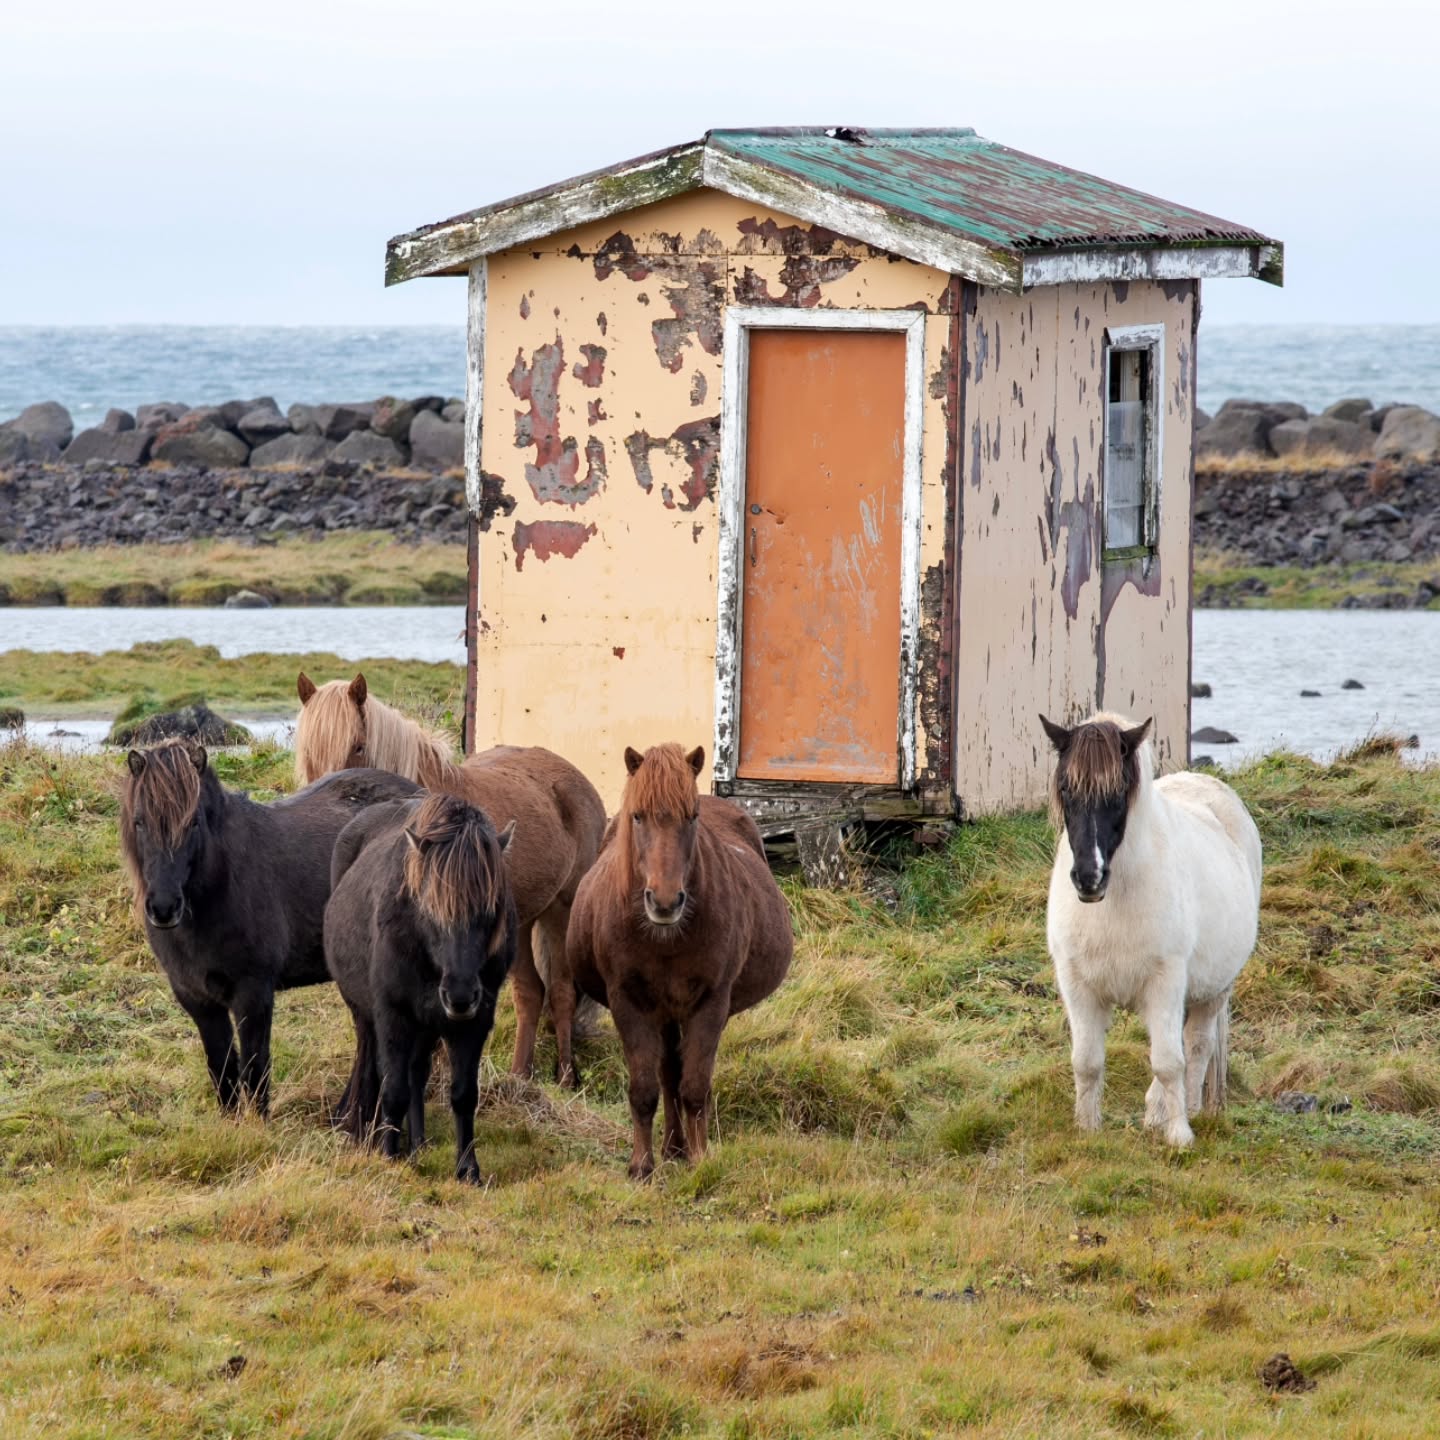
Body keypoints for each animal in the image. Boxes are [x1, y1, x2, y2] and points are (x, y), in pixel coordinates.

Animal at [118, 738, 420, 1115]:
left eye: (193, 824)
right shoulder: (196, 998)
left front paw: (258, 1123)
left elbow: (255, 1066)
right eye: (139, 822)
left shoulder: (253, 992)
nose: (163, 907)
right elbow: (222, 1069)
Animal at [294, 673, 606, 1079]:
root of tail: (577, 781)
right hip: (521, 922)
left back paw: (566, 1075)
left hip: (561, 911)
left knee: (562, 992)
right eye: (307, 754)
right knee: (530, 992)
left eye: (358, 747)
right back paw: (520, 1077)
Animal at [324, 793, 517, 1183]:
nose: (460, 995)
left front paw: (467, 1170)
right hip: (368, 1015)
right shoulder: (393, 1015)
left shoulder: (474, 1023)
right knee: (371, 1064)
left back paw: (418, 1144)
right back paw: (365, 1129)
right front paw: (388, 1156)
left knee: (417, 1072)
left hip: (427, 1024)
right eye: (429, 909)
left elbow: (463, 1095)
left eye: (491, 909)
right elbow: (394, 1089)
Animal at [556, 743, 793, 1180]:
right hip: (663, 1014)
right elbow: (645, 1089)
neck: (666, 939)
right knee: (667, 1075)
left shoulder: (711, 1004)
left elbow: (695, 1087)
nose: (665, 902)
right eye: (637, 816)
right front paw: (641, 1165)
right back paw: (671, 1147)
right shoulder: (628, 1004)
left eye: (692, 816)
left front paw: (700, 1160)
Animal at [1040, 711, 1263, 1149]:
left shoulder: (1164, 982)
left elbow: (1168, 1061)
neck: (1116, 902)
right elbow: (1086, 1062)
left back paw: (1186, 1109)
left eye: (1119, 791)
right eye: (1065, 788)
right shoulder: (1079, 987)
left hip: (1213, 990)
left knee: (1197, 1045)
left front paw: (1179, 1136)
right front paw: (1086, 1129)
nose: (1088, 878)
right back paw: (1155, 1112)